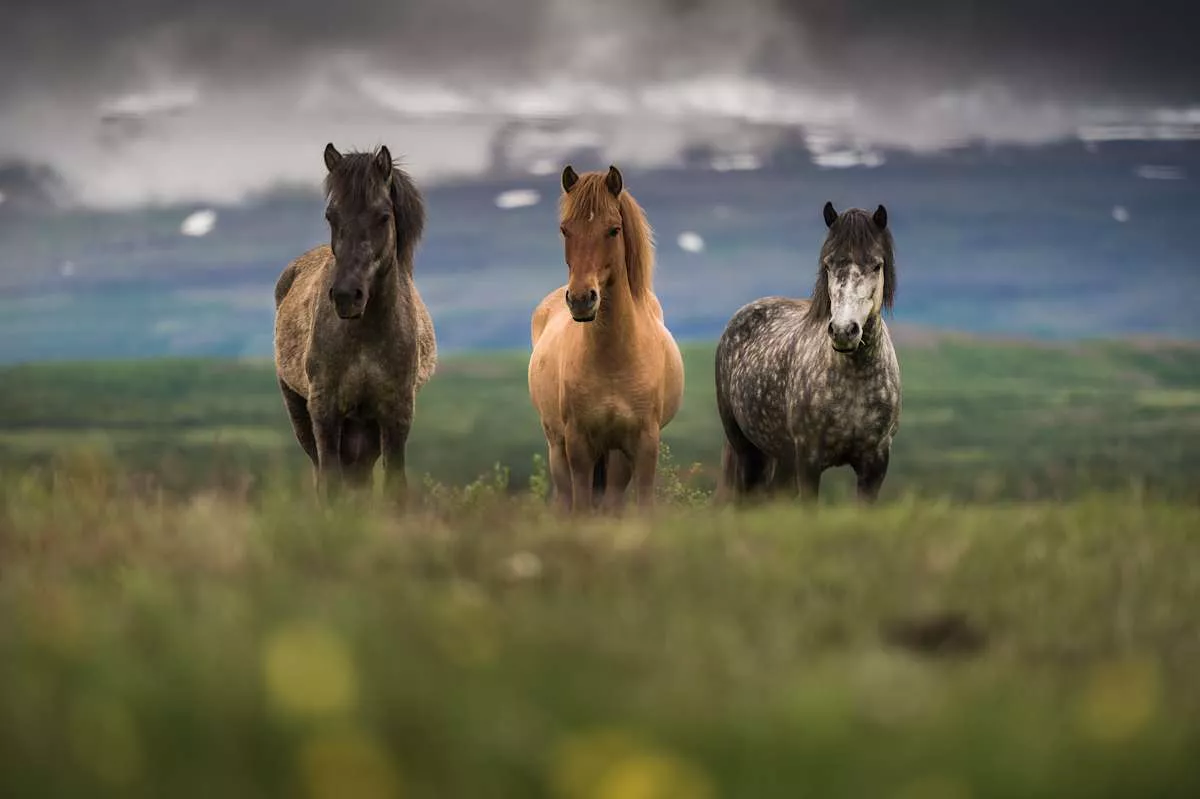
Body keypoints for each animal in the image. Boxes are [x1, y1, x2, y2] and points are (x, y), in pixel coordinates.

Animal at [273, 142, 437, 503]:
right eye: (331, 215)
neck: (365, 335)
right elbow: (330, 485)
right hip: (302, 414)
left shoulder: (395, 413)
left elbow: (394, 485)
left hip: (365, 430)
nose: (347, 295)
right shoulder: (325, 411)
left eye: (383, 216)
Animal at [528, 165, 685, 513]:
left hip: (617, 455)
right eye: (565, 230)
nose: (581, 299)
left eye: (613, 230)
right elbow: (582, 507)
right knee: (565, 499)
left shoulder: (644, 444)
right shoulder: (579, 444)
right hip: (558, 447)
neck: (613, 359)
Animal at [714, 201, 901, 505]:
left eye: (876, 265)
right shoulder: (809, 460)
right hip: (748, 451)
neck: (854, 380)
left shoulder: (875, 463)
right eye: (828, 263)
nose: (843, 330)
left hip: (780, 456)